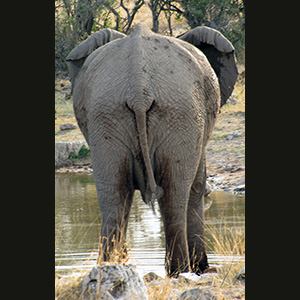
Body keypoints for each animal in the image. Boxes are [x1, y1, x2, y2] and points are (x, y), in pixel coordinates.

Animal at [67, 22, 238, 276]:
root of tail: (139, 88)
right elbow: (197, 186)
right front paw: (203, 269)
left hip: (105, 113)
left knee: (114, 192)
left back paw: (111, 266)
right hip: (181, 113)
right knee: (175, 192)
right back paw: (180, 272)